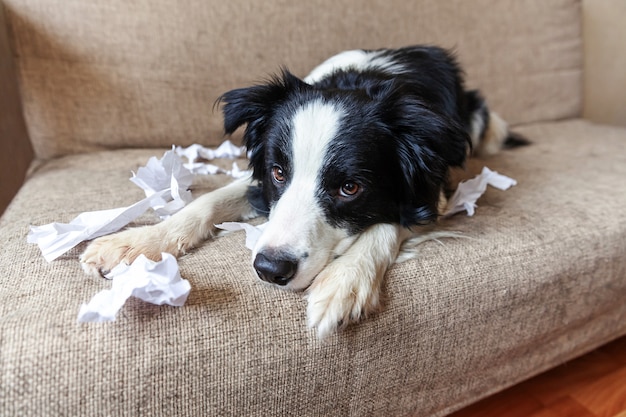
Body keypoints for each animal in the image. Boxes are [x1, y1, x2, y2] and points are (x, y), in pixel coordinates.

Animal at [80, 45, 520, 336]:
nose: (269, 270)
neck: (363, 82)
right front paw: (134, 243)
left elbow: (387, 224)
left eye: (350, 187)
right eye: (278, 172)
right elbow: (208, 201)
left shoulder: (434, 189)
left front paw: (343, 284)